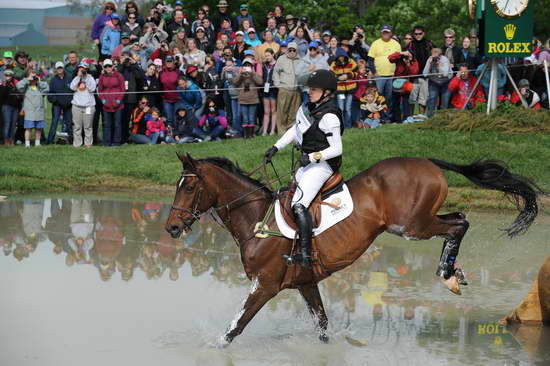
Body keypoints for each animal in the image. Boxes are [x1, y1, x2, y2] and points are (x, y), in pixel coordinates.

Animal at [164, 153, 544, 348]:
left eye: (190, 187)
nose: (171, 228)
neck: (257, 219)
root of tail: (425, 160)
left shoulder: (265, 285)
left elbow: (233, 329)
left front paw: (216, 347)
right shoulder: (305, 283)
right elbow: (322, 325)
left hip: (411, 226)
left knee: (459, 225)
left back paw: (446, 274)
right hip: (421, 220)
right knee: (460, 218)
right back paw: (453, 273)